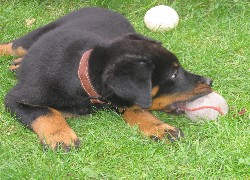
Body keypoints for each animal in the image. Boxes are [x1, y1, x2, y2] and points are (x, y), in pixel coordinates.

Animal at [0, 7, 213, 150]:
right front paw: (60, 136)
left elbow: (136, 109)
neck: (81, 76)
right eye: (174, 74)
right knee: (12, 46)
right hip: (36, 35)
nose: (210, 82)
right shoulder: (15, 98)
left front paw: (159, 127)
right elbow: (45, 112)